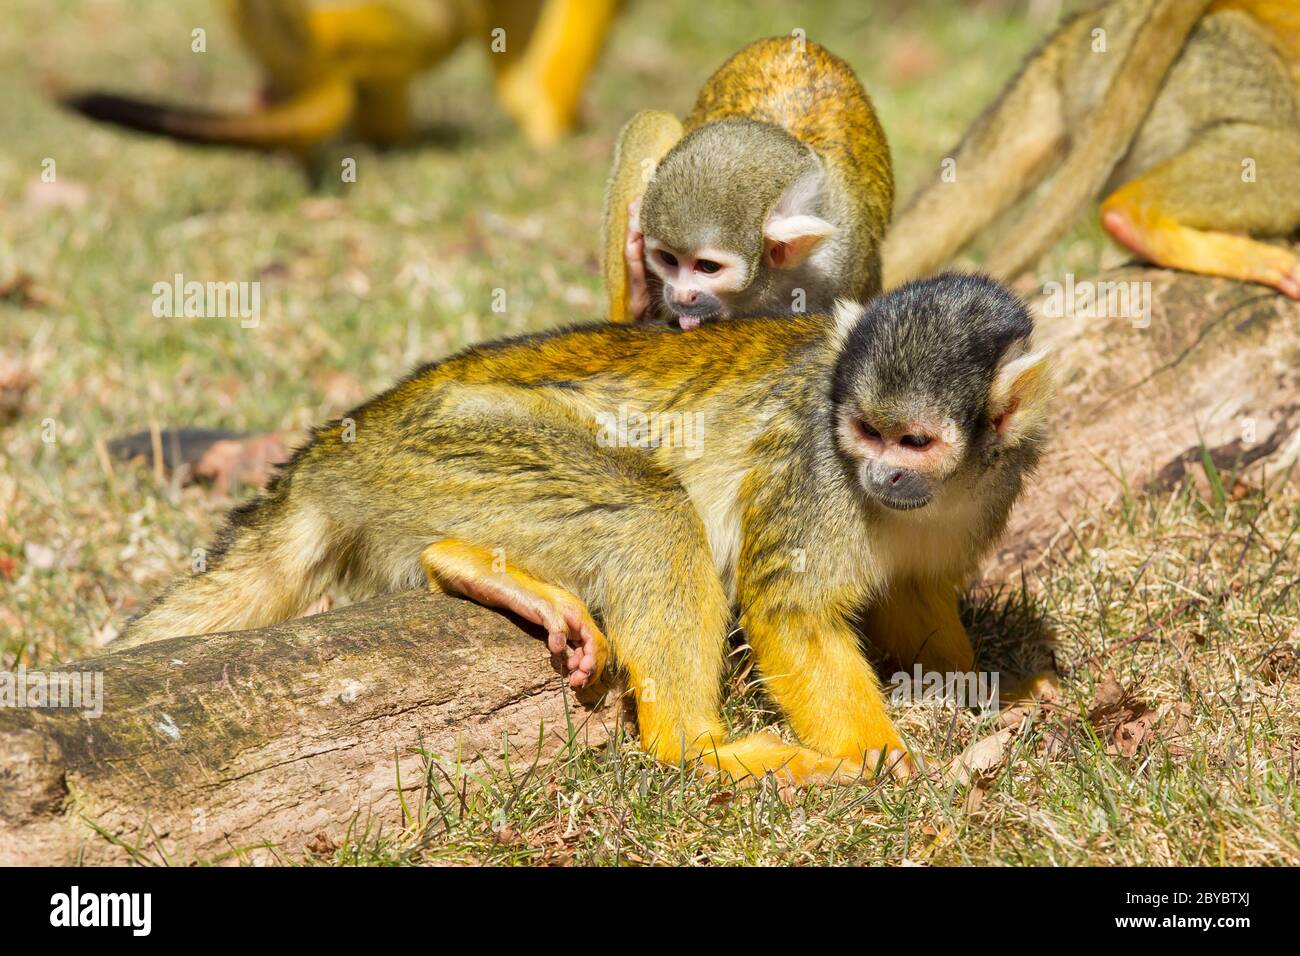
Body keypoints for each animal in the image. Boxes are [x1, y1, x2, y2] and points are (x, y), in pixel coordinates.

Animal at [117, 273, 1050, 786]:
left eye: (914, 442)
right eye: (863, 431)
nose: (883, 477)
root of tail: (330, 446)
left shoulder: (989, 485)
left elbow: (917, 593)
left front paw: (983, 689)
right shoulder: (817, 472)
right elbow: (790, 611)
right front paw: (883, 757)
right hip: (440, 447)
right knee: (651, 511)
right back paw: (697, 748)